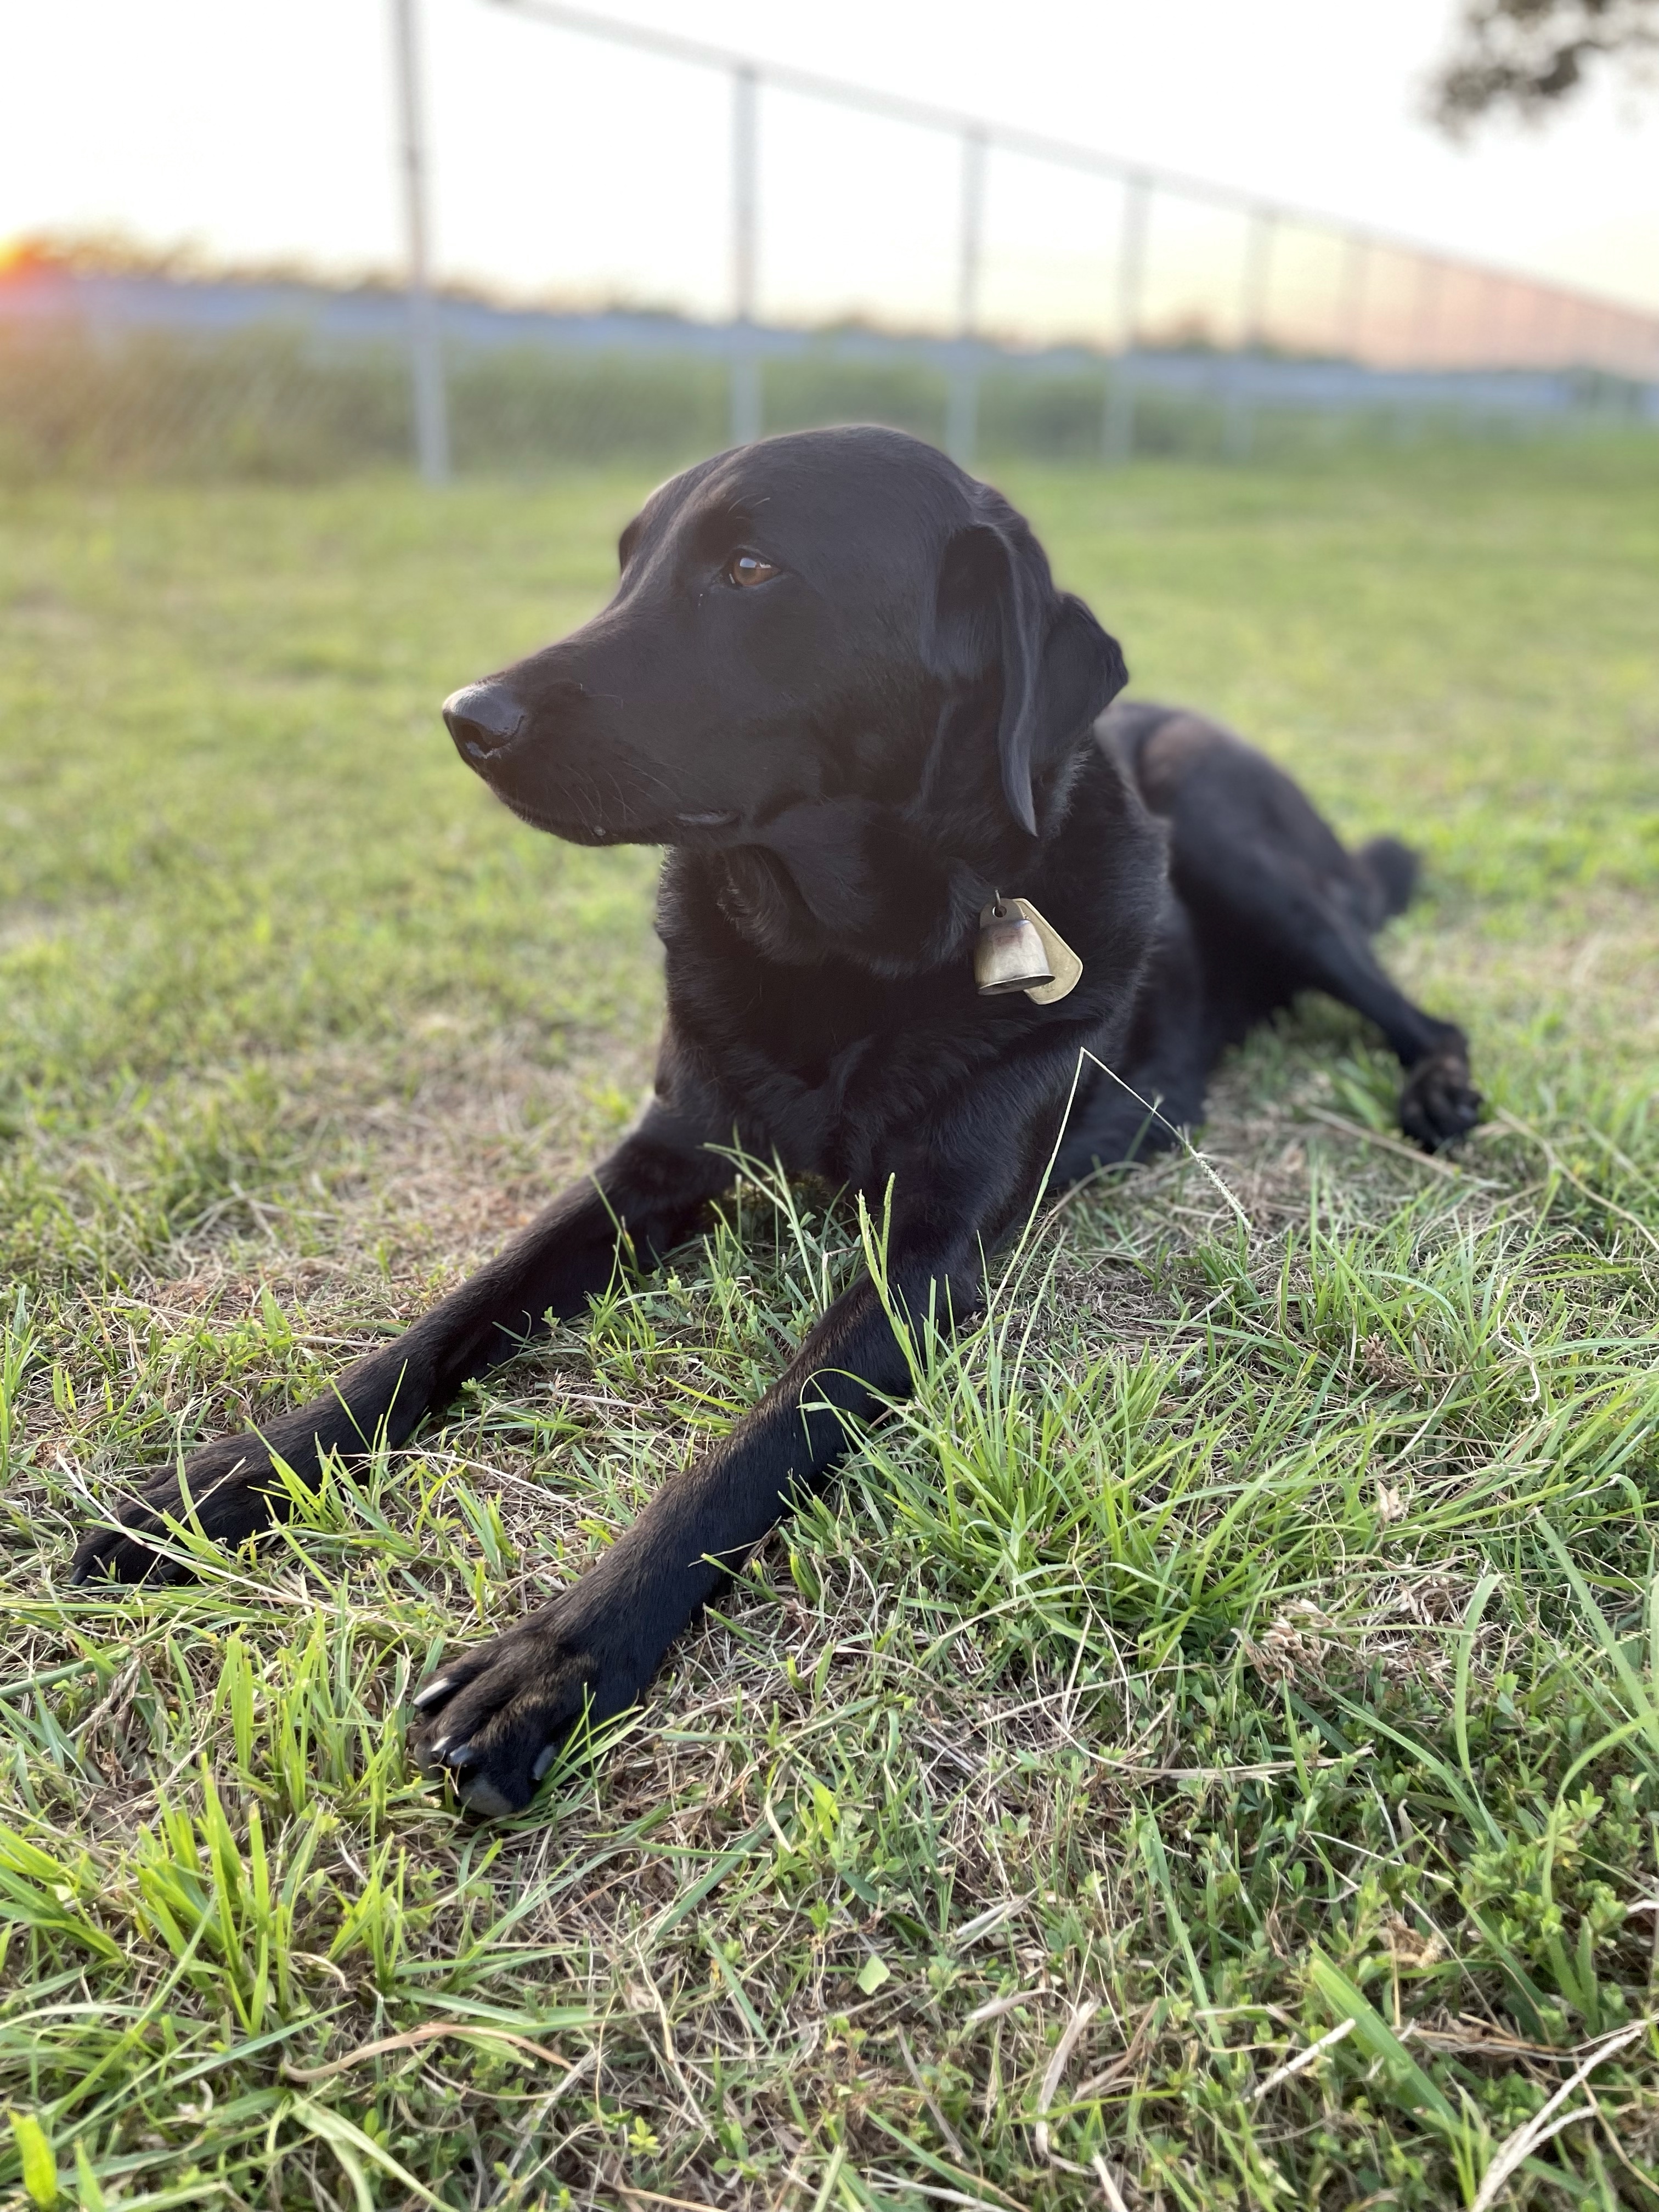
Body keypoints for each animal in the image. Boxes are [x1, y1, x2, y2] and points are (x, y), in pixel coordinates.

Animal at [71, 426, 1479, 1816]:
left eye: (750, 570)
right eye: (628, 562)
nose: (465, 716)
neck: (838, 957)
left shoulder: (925, 1263)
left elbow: (742, 1455)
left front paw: (555, 1663)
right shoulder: (655, 1162)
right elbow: (445, 1320)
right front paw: (236, 1475)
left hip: (1238, 833)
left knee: (1417, 1005)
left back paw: (1439, 1093)